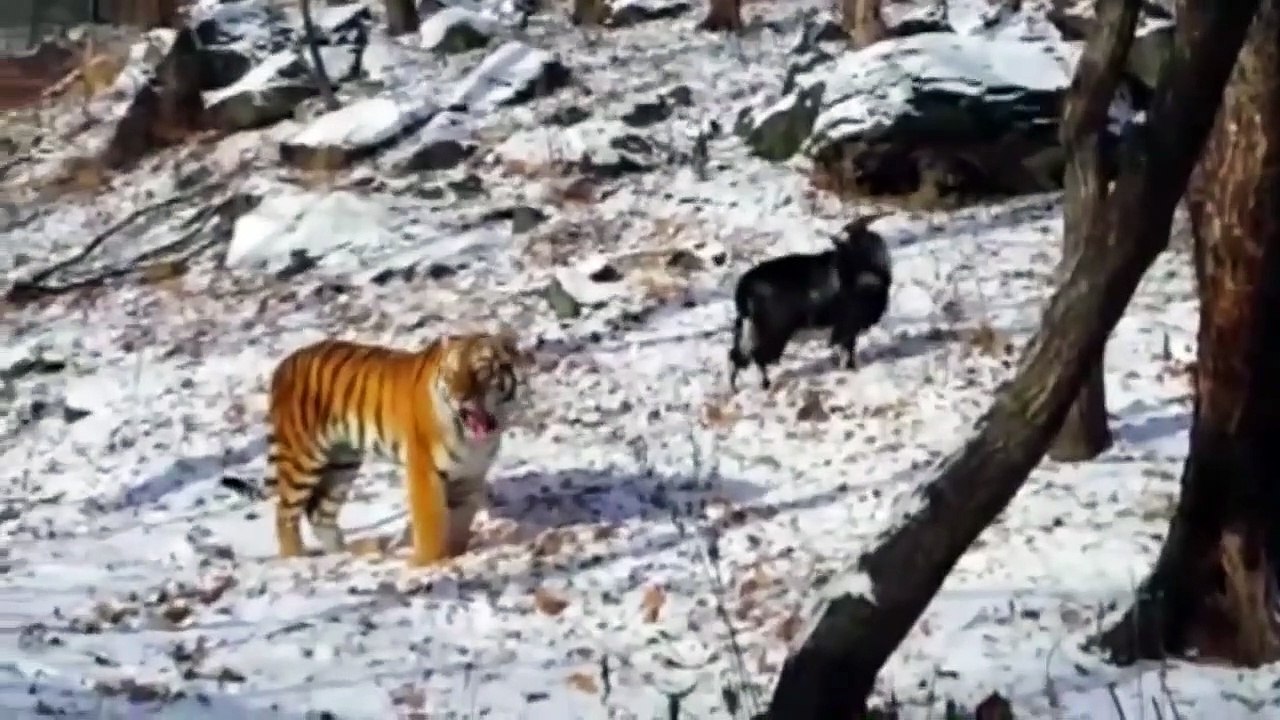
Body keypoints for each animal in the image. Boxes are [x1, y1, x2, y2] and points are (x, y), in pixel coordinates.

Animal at [221, 330, 529, 568]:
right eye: (451, 374)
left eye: (482, 370)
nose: (459, 397)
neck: (474, 438)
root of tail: (283, 364)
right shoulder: (424, 470)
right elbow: (429, 521)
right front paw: (427, 564)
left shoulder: (470, 476)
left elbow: (460, 520)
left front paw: (454, 554)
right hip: (303, 458)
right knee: (285, 513)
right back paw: (296, 559)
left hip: (342, 463)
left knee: (319, 513)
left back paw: (349, 553)